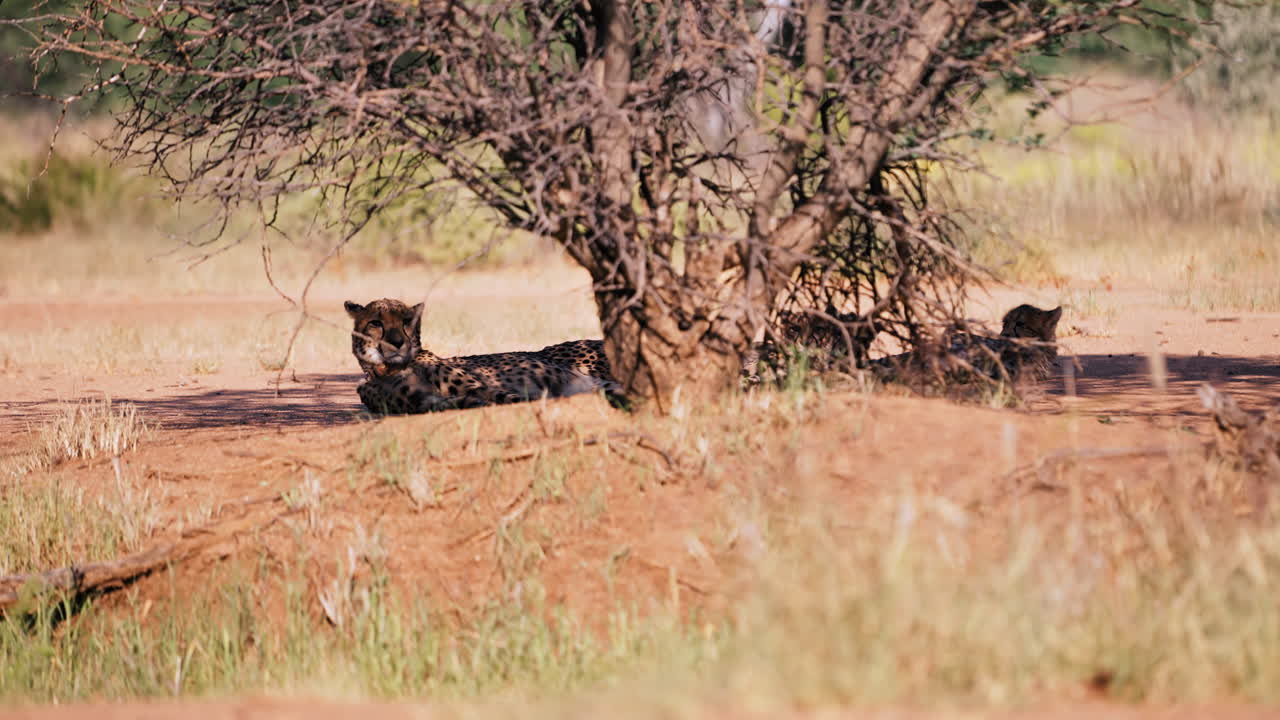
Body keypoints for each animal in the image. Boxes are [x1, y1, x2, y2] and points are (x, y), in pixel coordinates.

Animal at [345, 298, 622, 415]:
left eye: (406, 322)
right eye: (376, 323)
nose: (397, 342)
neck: (388, 369)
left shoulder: (481, 387)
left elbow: (510, 398)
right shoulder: (428, 403)